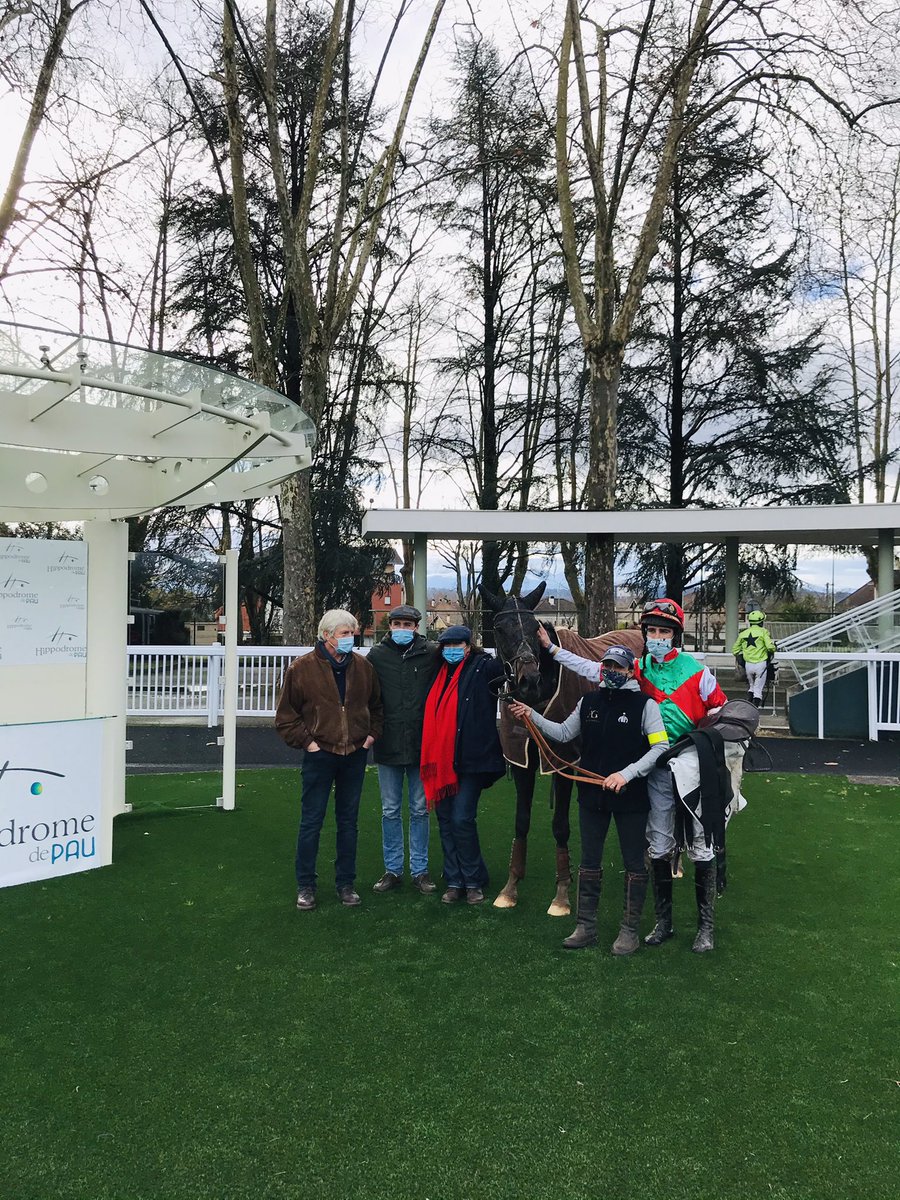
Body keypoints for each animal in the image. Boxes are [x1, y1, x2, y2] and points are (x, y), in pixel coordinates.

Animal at [482, 585, 643, 912]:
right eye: (499, 629)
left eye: (534, 627)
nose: (528, 680)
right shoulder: (522, 759)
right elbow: (521, 821)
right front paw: (510, 887)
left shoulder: (564, 760)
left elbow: (559, 825)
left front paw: (562, 893)